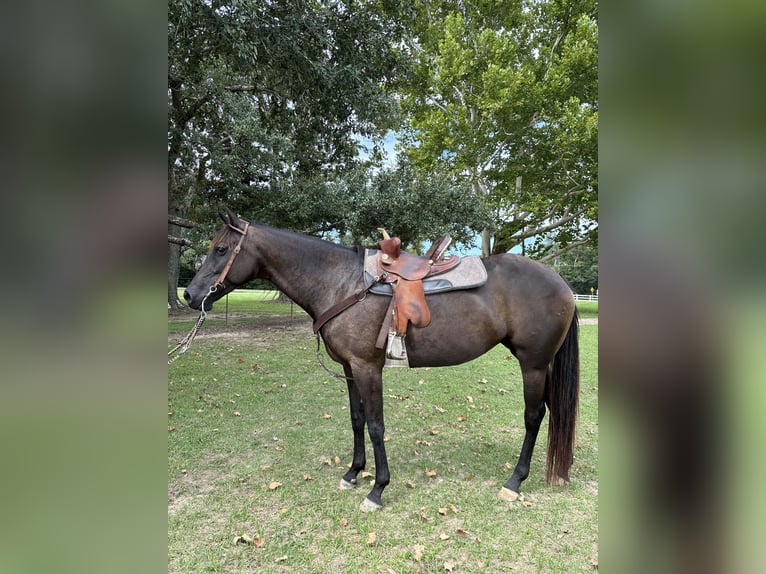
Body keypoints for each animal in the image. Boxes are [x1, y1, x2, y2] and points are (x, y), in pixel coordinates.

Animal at [188, 208, 584, 512]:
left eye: (221, 249)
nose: (191, 294)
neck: (342, 283)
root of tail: (563, 285)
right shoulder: (350, 368)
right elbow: (357, 419)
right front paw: (352, 472)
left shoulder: (368, 368)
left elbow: (377, 425)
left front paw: (377, 489)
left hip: (533, 364)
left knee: (534, 416)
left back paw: (515, 481)